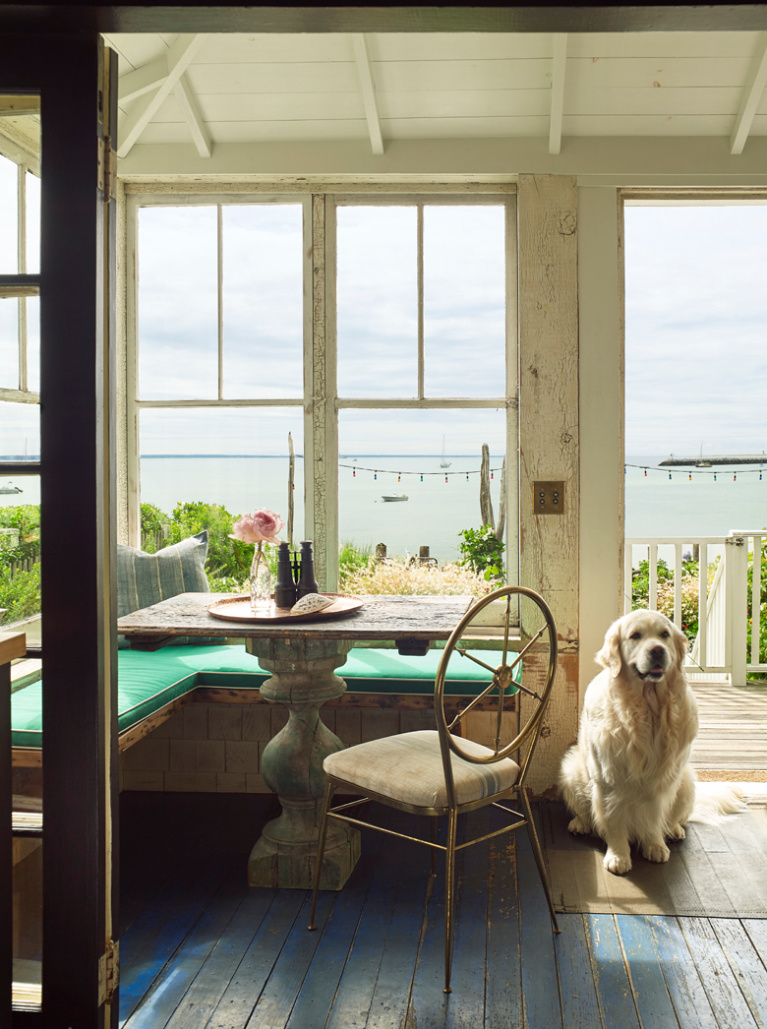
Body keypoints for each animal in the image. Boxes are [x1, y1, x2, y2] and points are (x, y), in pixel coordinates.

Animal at [555, 609, 741, 876]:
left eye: (664, 635)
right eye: (635, 635)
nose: (657, 650)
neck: (647, 711)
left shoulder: (662, 781)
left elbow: (654, 817)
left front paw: (655, 846)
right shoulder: (609, 778)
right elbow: (613, 819)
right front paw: (619, 856)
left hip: (686, 780)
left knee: (674, 818)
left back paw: (673, 830)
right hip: (571, 770)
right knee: (585, 812)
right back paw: (580, 824)